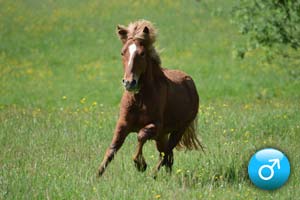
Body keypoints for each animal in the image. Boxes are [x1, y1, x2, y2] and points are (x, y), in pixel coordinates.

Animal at [97, 19, 203, 177]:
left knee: (166, 153)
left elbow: (141, 135)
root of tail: (190, 82)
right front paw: (96, 175)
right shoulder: (123, 124)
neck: (140, 99)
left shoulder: (156, 126)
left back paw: (153, 174)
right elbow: (113, 148)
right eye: (122, 53)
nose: (129, 82)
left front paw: (140, 164)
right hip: (163, 135)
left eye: (141, 54)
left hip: (178, 130)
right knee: (167, 154)